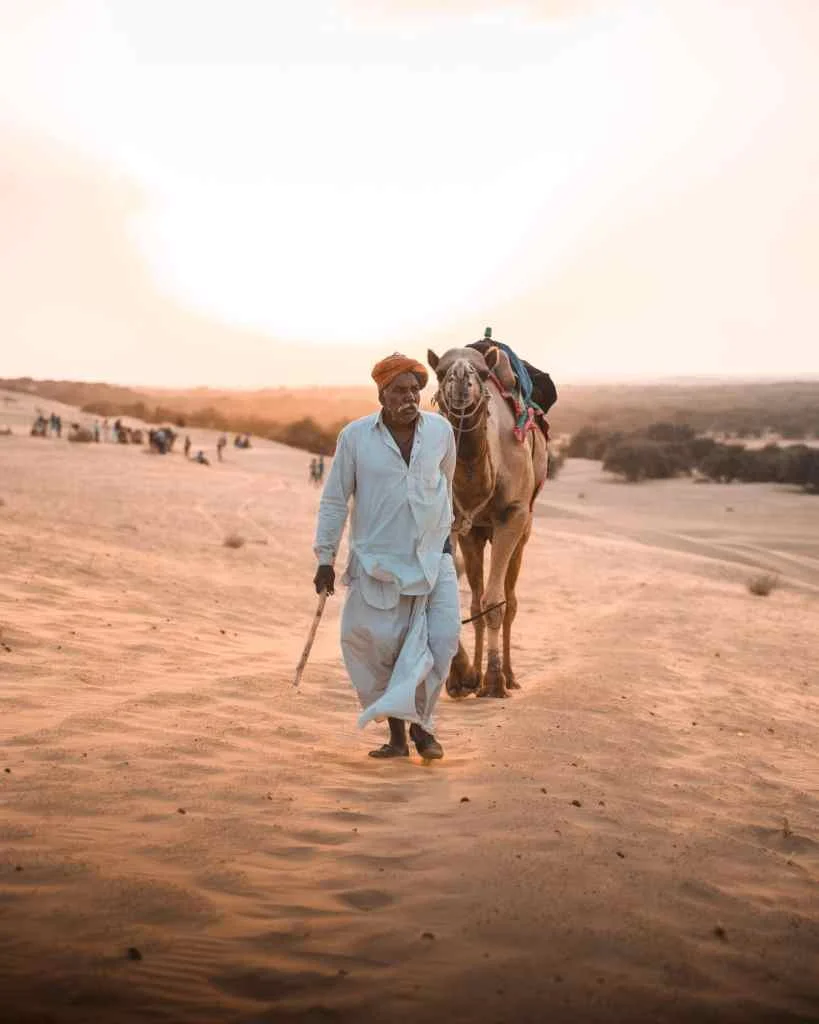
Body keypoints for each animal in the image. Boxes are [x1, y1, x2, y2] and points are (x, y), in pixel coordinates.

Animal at [428, 344, 549, 698]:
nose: (460, 379)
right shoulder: (451, 519)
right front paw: (461, 677)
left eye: (481, 373)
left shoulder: (512, 515)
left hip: (523, 530)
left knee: (510, 602)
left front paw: (494, 681)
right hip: (476, 534)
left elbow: (496, 603)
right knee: (475, 603)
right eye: (440, 372)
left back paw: (507, 676)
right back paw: (475, 678)